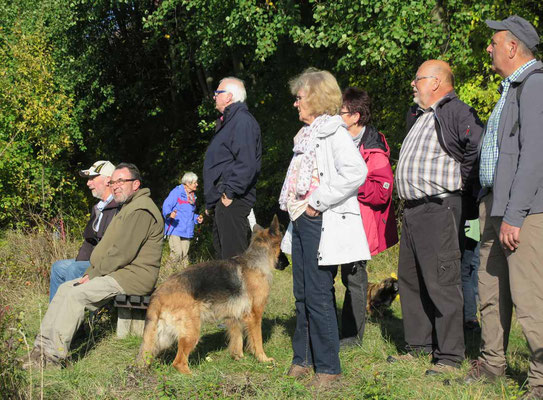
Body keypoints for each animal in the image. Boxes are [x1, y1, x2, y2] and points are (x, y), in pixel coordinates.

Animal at [137, 216, 288, 376]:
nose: (288, 263)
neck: (256, 260)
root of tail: (159, 292)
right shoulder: (255, 315)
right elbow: (257, 340)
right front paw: (263, 359)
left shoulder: (234, 317)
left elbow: (237, 339)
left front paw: (238, 357)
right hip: (191, 332)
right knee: (178, 362)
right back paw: (193, 376)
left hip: (162, 336)